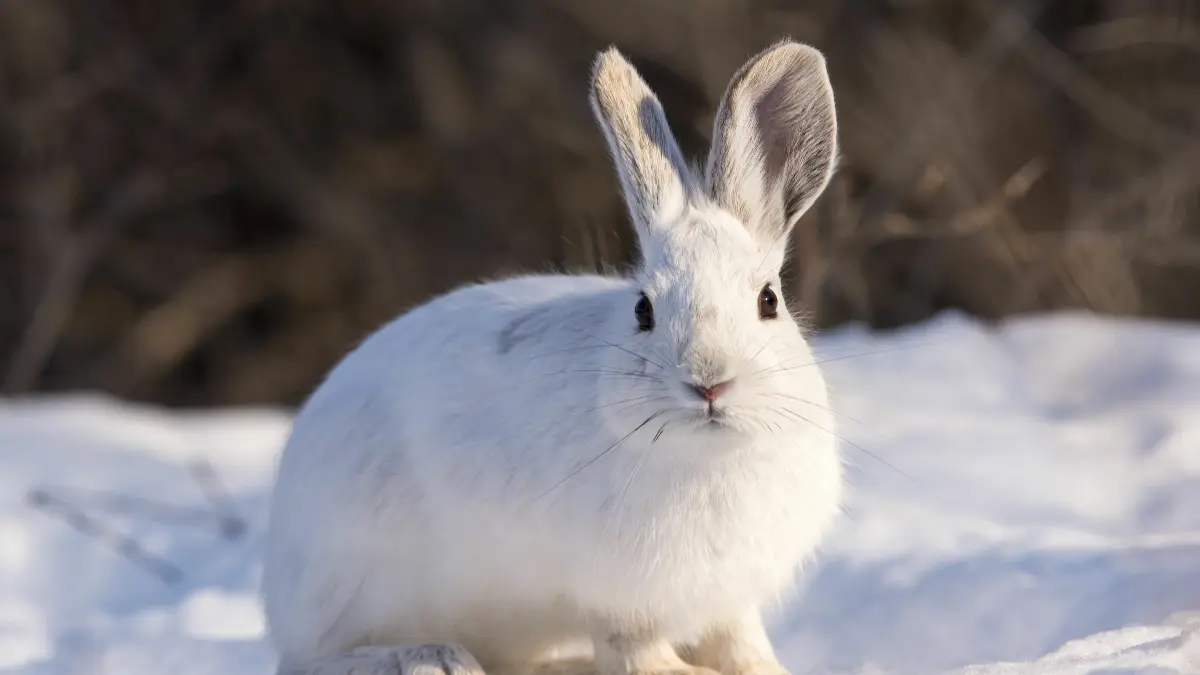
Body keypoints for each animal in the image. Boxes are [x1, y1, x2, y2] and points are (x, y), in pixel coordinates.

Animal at [261, 38, 843, 675]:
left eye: (769, 301)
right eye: (644, 310)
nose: (710, 382)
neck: (711, 459)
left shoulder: (727, 604)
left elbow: (741, 645)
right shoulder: (619, 606)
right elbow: (638, 654)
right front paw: (679, 672)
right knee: (313, 659)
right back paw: (434, 657)